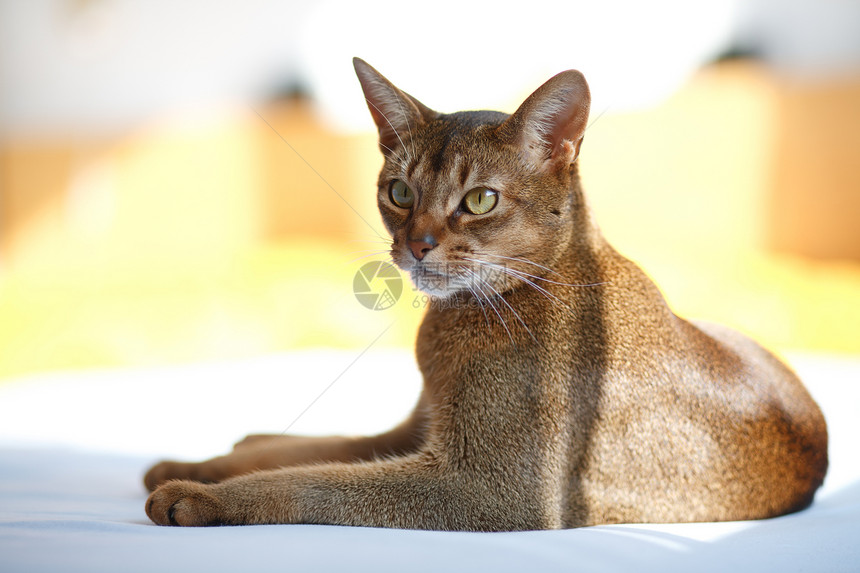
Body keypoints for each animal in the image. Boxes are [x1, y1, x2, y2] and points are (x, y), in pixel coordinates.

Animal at [144, 57, 828, 528]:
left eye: (479, 201)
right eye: (399, 192)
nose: (417, 244)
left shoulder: (492, 490)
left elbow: (314, 481)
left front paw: (197, 495)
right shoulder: (421, 428)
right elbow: (324, 450)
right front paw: (191, 464)